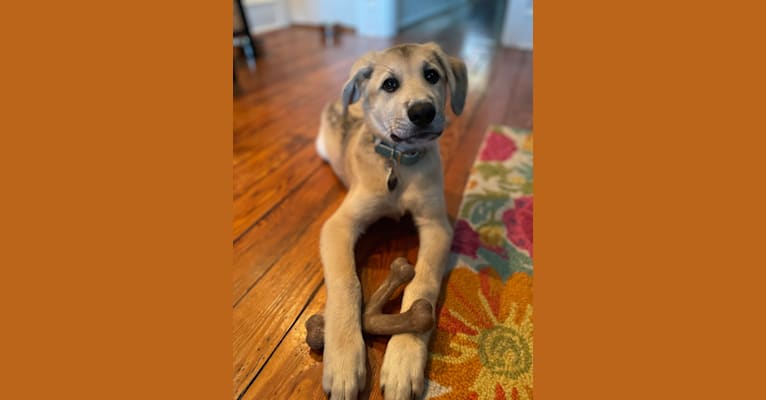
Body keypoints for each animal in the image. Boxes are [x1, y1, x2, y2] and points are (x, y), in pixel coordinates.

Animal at [316, 42, 468, 398]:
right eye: (389, 84)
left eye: (432, 75)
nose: (423, 112)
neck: (400, 162)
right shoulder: (338, 226)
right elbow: (347, 283)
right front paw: (343, 360)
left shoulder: (436, 225)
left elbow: (422, 282)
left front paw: (403, 360)